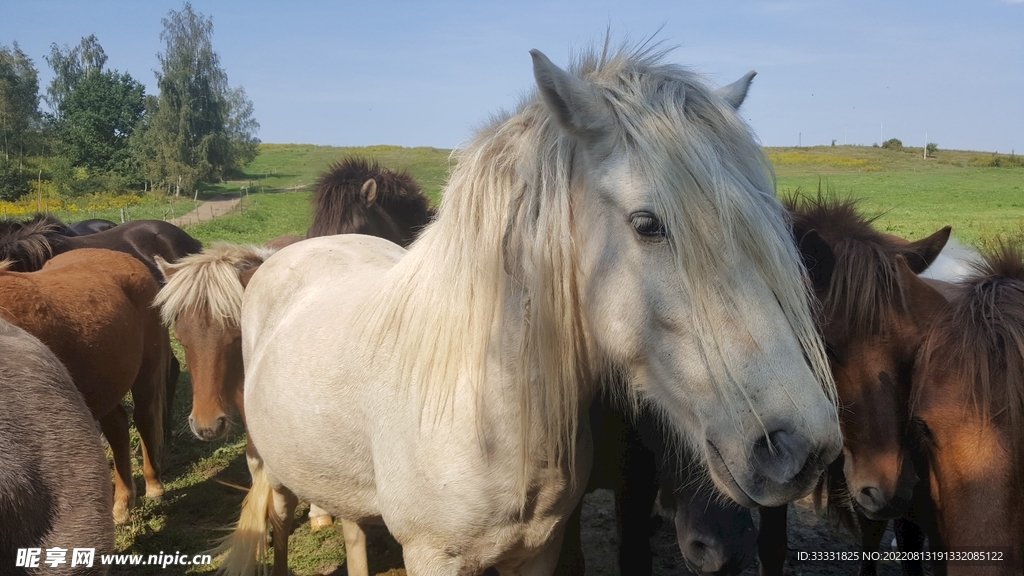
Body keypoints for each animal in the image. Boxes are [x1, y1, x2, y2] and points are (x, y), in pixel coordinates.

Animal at [218, 42, 841, 576]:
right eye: (647, 224)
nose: (801, 448)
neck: (484, 410)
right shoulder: (432, 557)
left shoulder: (540, 549)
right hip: (274, 474)